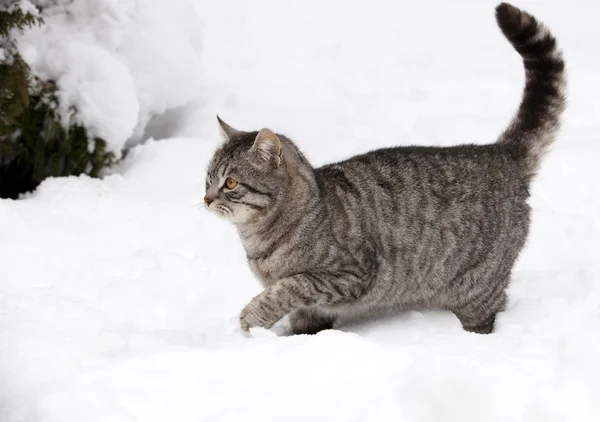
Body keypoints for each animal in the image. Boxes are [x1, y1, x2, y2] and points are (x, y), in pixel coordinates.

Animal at [204, 1, 564, 334]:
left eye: (230, 183)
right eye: (207, 179)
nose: (206, 199)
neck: (259, 238)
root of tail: (499, 151)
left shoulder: (349, 275)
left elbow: (290, 287)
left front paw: (252, 318)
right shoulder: (315, 308)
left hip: (477, 287)